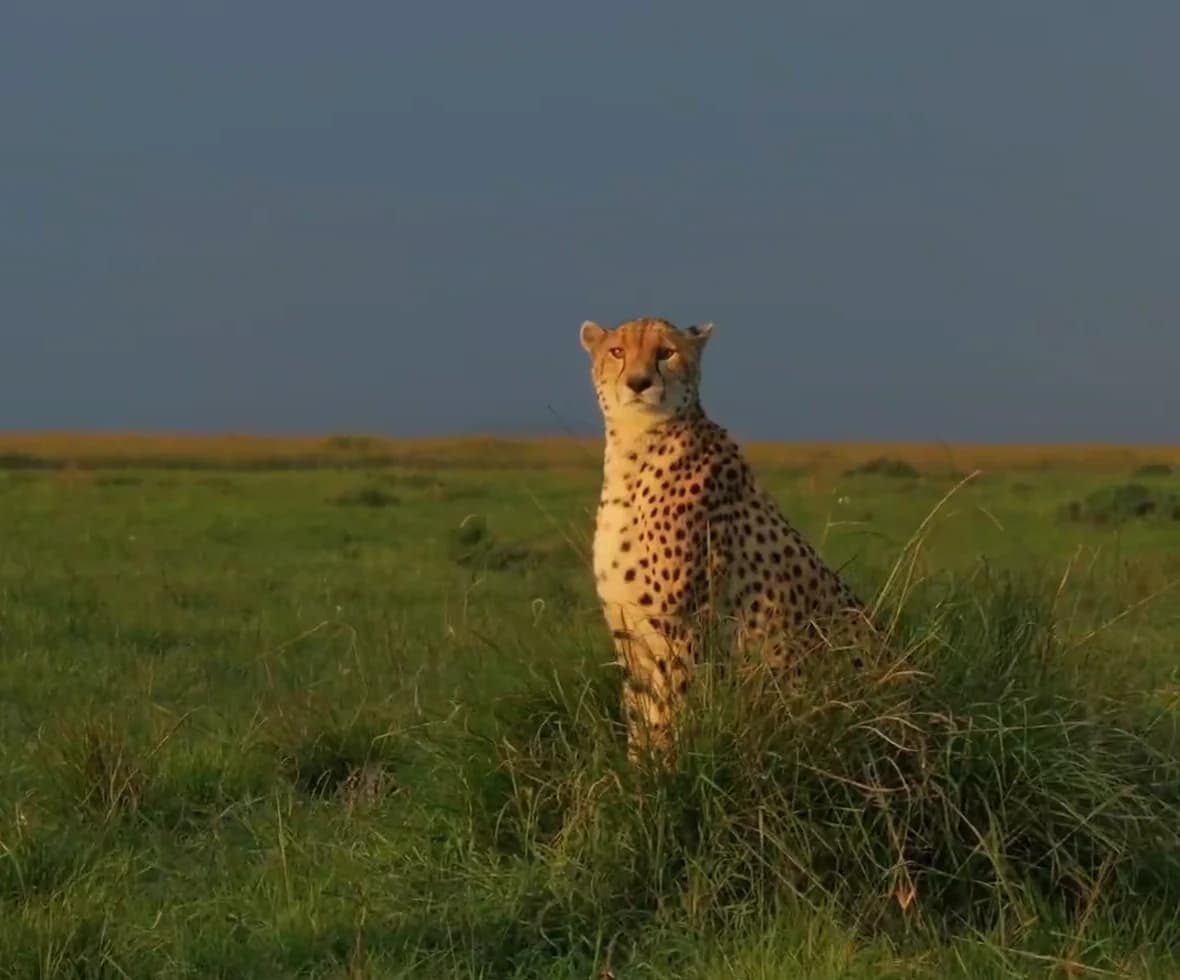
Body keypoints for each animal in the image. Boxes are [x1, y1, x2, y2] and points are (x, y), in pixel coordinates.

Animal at [580, 316, 881, 762]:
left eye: (666, 352)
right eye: (617, 352)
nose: (638, 382)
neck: (636, 448)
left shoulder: (683, 629)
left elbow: (672, 711)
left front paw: (668, 771)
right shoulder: (628, 632)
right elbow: (640, 714)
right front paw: (637, 772)